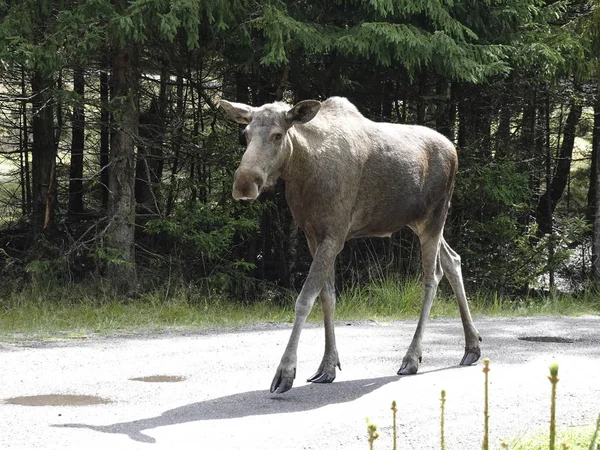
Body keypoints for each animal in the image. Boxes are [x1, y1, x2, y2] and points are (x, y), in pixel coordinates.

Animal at [221, 96, 482, 394]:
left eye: (278, 135)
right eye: (245, 134)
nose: (244, 184)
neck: (302, 170)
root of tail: (454, 149)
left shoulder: (334, 235)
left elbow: (305, 298)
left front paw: (285, 372)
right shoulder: (313, 236)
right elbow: (327, 296)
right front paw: (327, 366)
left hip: (434, 218)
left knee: (432, 277)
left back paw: (412, 357)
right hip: (419, 223)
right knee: (453, 260)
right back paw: (472, 346)